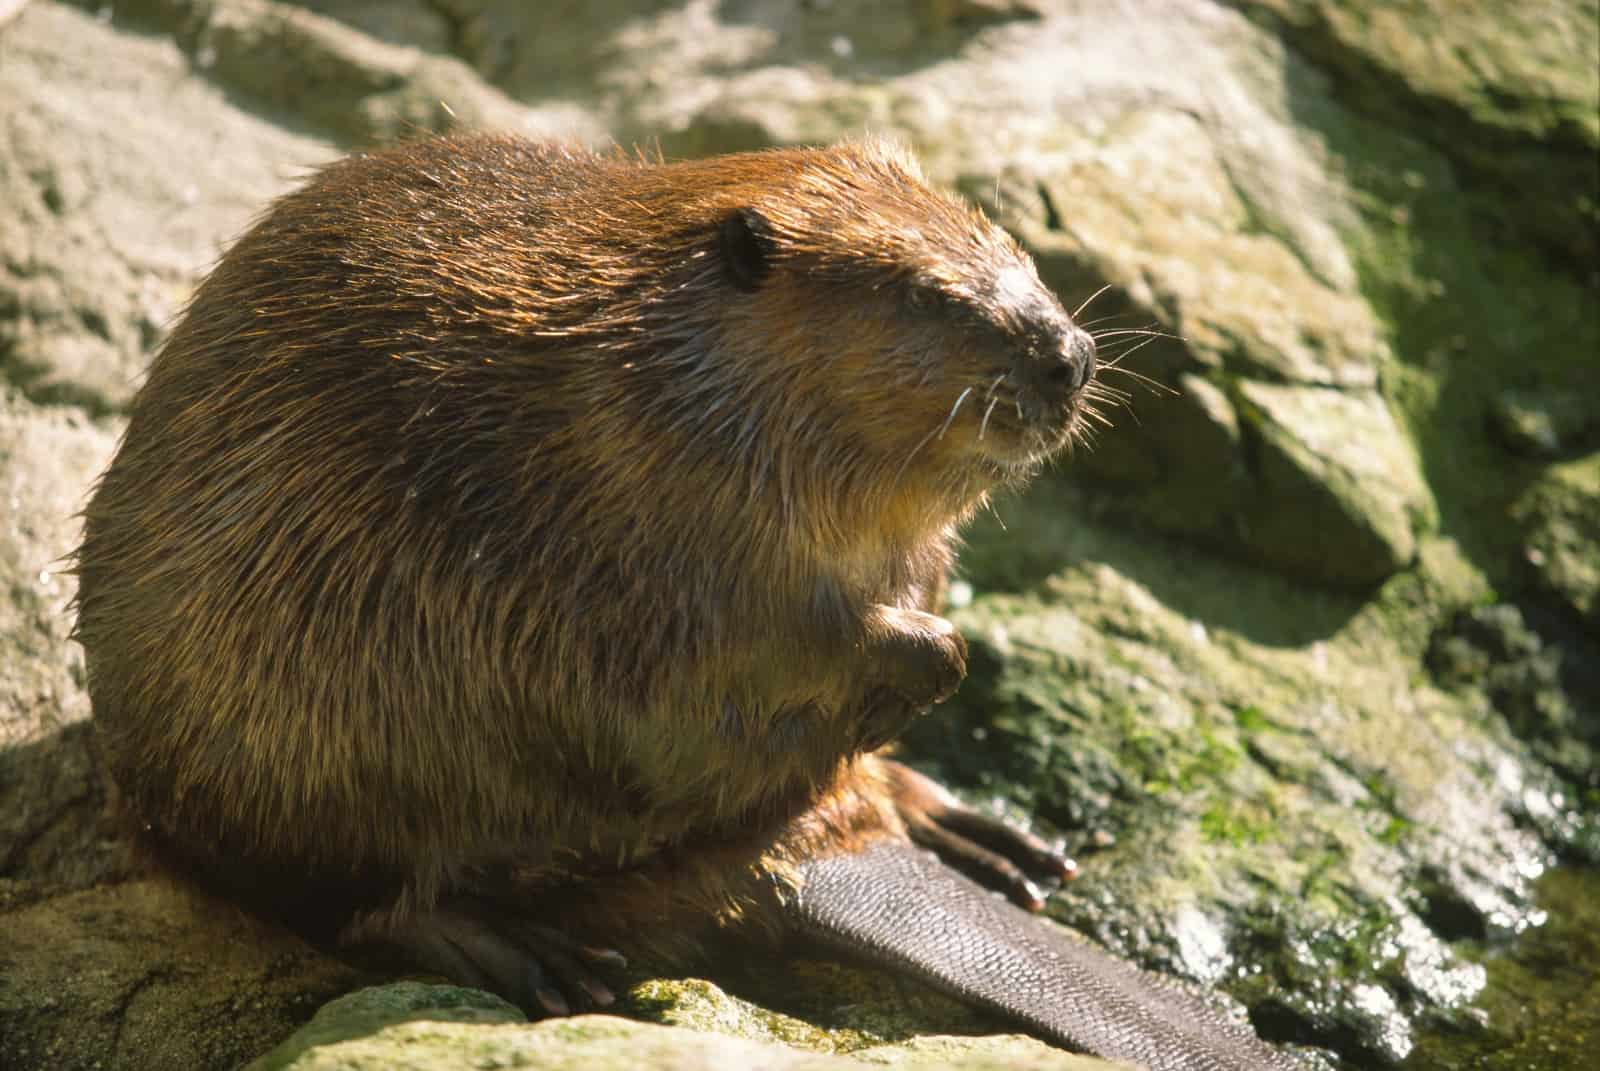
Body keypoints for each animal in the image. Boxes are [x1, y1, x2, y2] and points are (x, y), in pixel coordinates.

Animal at [75, 133, 1299, 1069]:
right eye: (923, 293)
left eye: (1014, 250)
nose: (1070, 356)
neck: (647, 360)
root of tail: (822, 869)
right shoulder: (599, 510)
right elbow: (675, 688)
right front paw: (926, 649)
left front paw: (925, 657)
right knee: (355, 891)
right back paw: (531, 955)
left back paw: (986, 840)